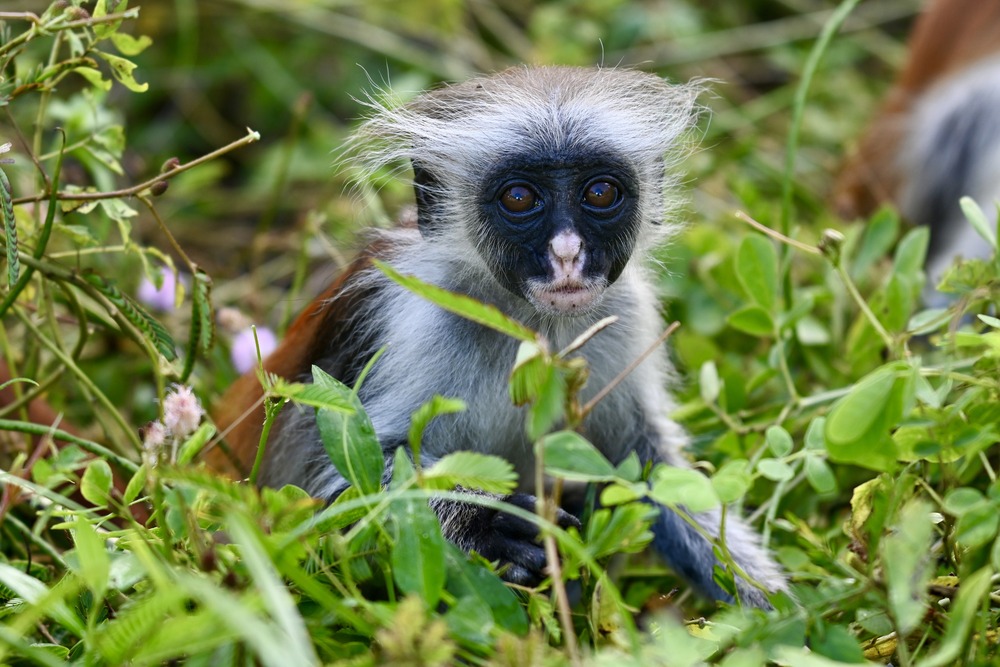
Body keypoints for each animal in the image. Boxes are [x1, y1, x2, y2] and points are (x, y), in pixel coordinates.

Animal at [211, 66, 788, 609]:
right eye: (518, 197)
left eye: (600, 192)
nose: (567, 252)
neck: (530, 327)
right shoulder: (409, 318)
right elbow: (332, 493)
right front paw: (481, 522)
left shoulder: (626, 312)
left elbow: (653, 471)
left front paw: (779, 612)